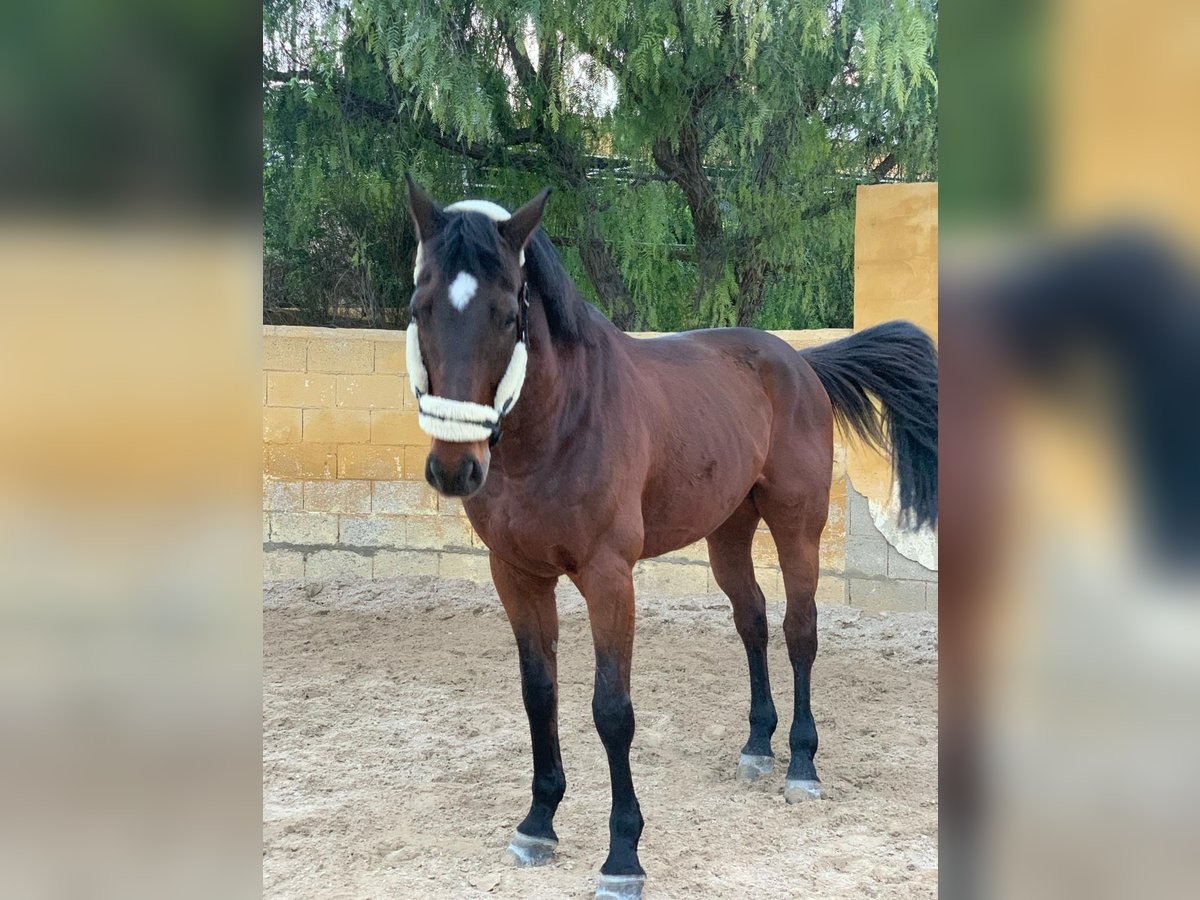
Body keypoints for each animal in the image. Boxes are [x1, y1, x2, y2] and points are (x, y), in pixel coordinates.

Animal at [403, 177, 936, 900]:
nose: (455, 468)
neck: (560, 423)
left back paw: (801, 765)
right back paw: (757, 747)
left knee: (799, 632)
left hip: (796, 528)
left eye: (507, 315)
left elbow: (611, 710)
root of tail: (799, 362)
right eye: (420, 306)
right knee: (753, 622)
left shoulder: (608, 578)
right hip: (728, 533)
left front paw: (622, 856)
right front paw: (538, 822)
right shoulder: (516, 575)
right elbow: (539, 695)